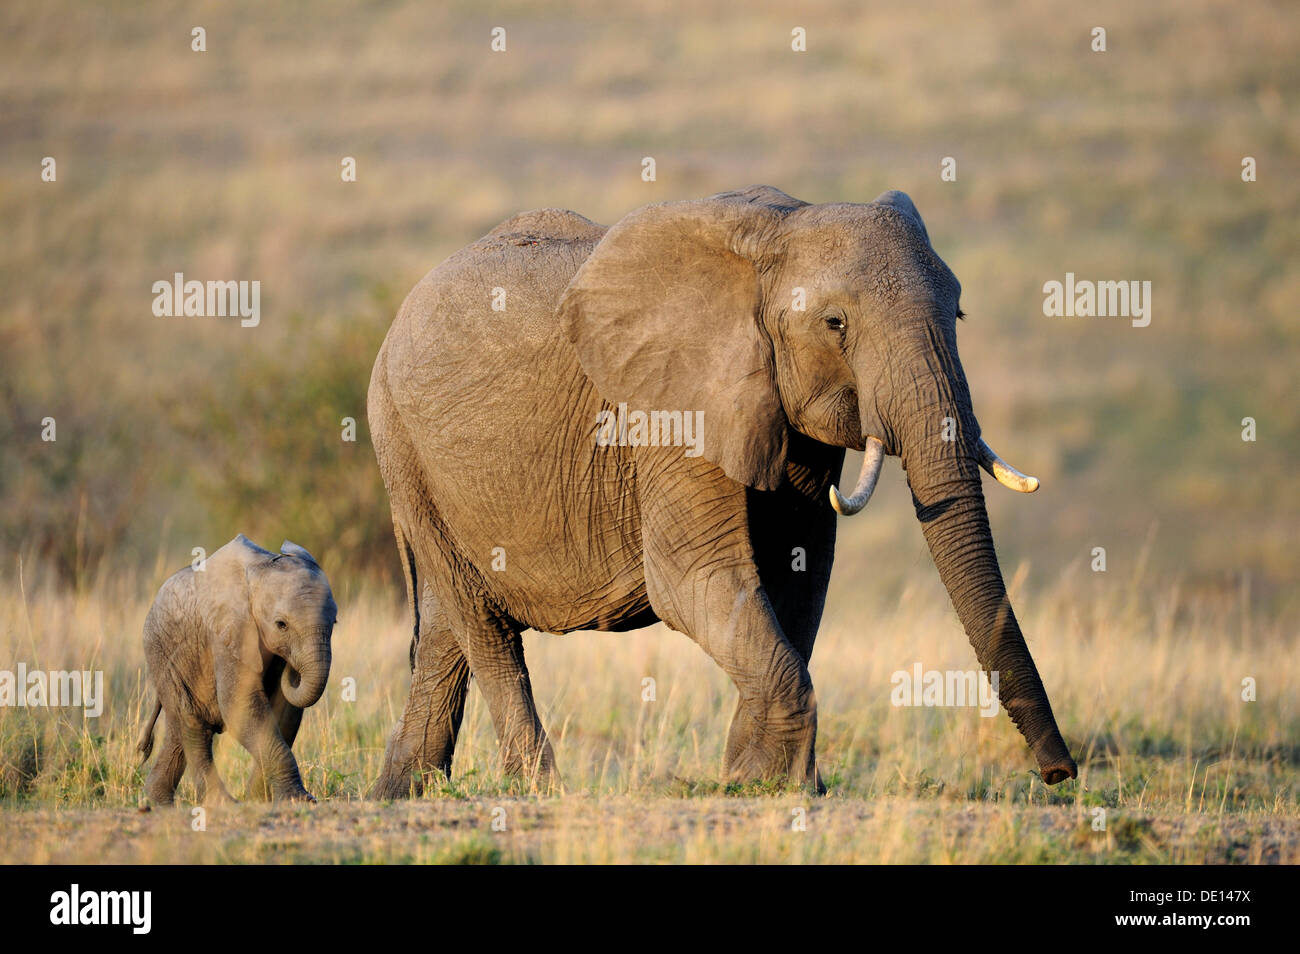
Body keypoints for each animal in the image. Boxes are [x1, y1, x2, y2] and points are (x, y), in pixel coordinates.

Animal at [137, 538, 338, 805]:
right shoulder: (227, 634)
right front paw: (297, 799)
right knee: (191, 722)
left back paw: (159, 801)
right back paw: (221, 802)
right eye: (281, 625)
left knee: (177, 729)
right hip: (159, 651)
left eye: (334, 622)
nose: (292, 668)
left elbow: (285, 711)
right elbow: (238, 704)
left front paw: (260, 799)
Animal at [369, 187, 1076, 800]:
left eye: (957, 314)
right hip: (402, 447)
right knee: (481, 622)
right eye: (835, 324)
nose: (1059, 774)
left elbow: (797, 580)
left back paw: (400, 793)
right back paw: (539, 789)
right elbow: (692, 579)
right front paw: (778, 784)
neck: (778, 233)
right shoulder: (671, 407)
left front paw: (755, 778)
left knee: (444, 626)